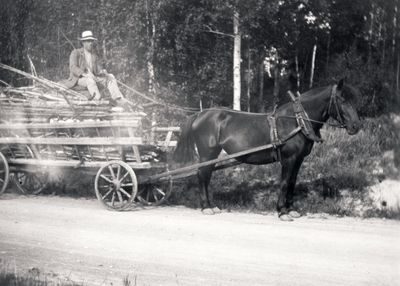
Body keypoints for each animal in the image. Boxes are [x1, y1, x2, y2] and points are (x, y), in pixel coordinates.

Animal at [173, 79, 360, 221]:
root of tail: (199, 114)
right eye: (342, 99)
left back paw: (211, 206)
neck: (297, 120)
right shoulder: (289, 159)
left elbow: (292, 182)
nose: (356, 126)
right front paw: (282, 211)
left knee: (206, 176)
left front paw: (291, 209)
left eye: (353, 99)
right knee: (202, 176)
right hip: (207, 153)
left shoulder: (298, 159)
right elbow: (284, 182)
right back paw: (206, 207)